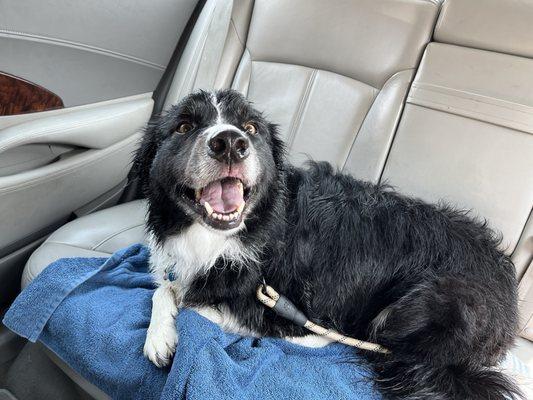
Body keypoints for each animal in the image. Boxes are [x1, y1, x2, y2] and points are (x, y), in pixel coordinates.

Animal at [134, 90, 520, 400]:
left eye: (251, 128)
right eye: (184, 126)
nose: (230, 142)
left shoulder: (280, 305)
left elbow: (197, 307)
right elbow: (166, 289)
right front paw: (160, 334)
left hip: (418, 304)